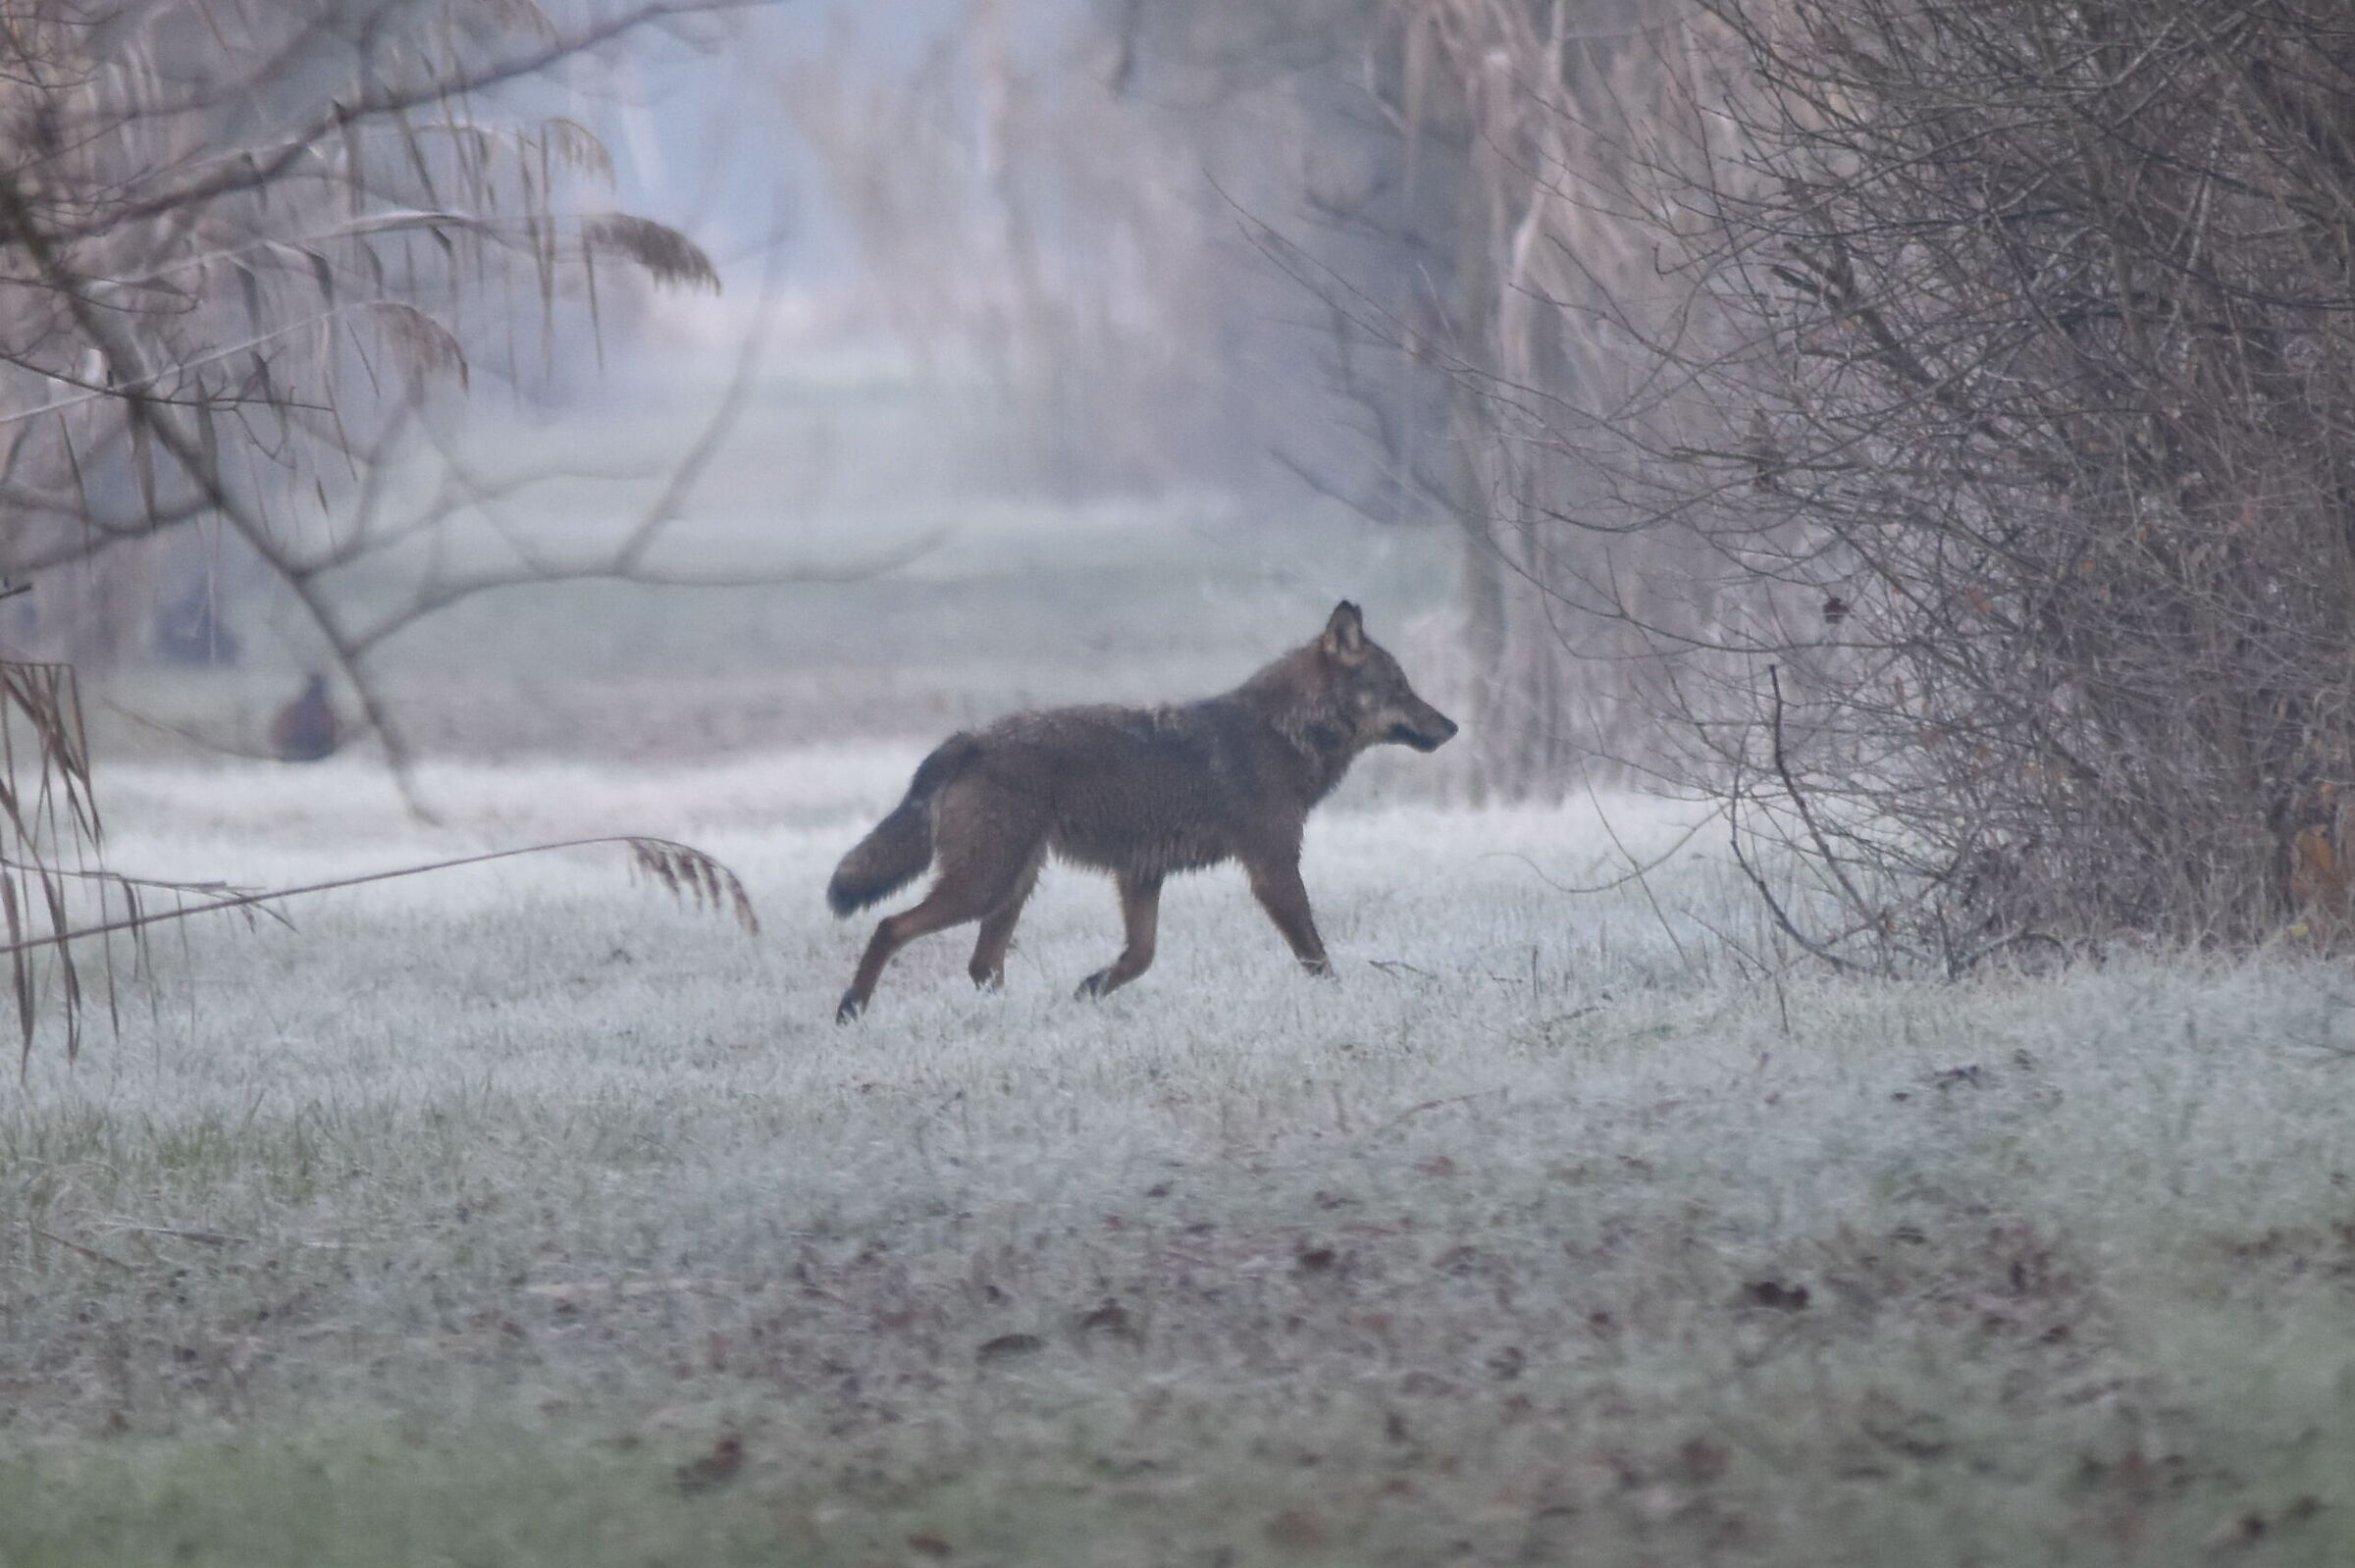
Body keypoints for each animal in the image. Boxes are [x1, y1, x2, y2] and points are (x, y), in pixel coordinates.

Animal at [827, 601, 1458, 1021]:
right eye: (1401, 688)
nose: (1453, 727)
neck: (1283, 733)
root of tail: (966, 739)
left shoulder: (1142, 874)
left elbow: (1140, 957)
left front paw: (1088, 990)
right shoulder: (1273, 868)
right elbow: (1315, 956)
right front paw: (1343, 1004)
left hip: (1011, 887)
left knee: (983, 967)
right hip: (984, 886)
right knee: (890, 926)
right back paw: (850, 1009)